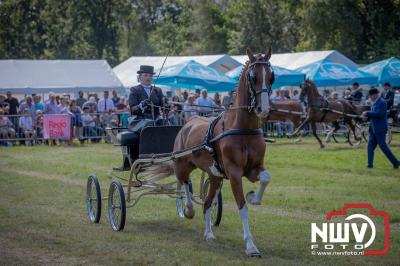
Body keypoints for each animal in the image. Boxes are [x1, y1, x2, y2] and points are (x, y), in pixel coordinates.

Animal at [147, 48, 276, 256]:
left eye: (271, 77)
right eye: (253, 77)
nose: (263, 109)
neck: (241, 128)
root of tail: (187, 124)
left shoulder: (254, 168)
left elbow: (265, 178)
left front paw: (253, 197)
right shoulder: (234, 172)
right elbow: (242, 207)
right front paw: (250, 245)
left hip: (215, 176)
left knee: (207, 203)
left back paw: (208, 233)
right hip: (182, 164)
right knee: (184, 183)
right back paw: (188, 209)